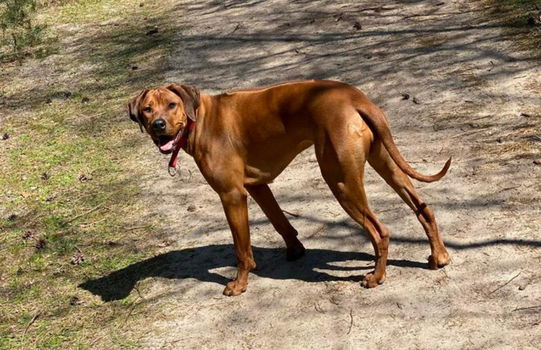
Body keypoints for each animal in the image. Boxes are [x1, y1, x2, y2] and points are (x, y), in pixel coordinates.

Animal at [127, 79, 452, 296]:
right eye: (147, 109)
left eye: (172, 105)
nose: (157, 126)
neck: (199, 120)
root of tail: (355, 97)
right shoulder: (258, 186)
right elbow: (280, 222)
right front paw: (295, 250)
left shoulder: (231, 195)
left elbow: (241, 248)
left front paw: (239, 284)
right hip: (384, 162)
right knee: (423, 208)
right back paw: (439, 256)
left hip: (340, 181)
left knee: (379, 230)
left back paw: (376, 277)